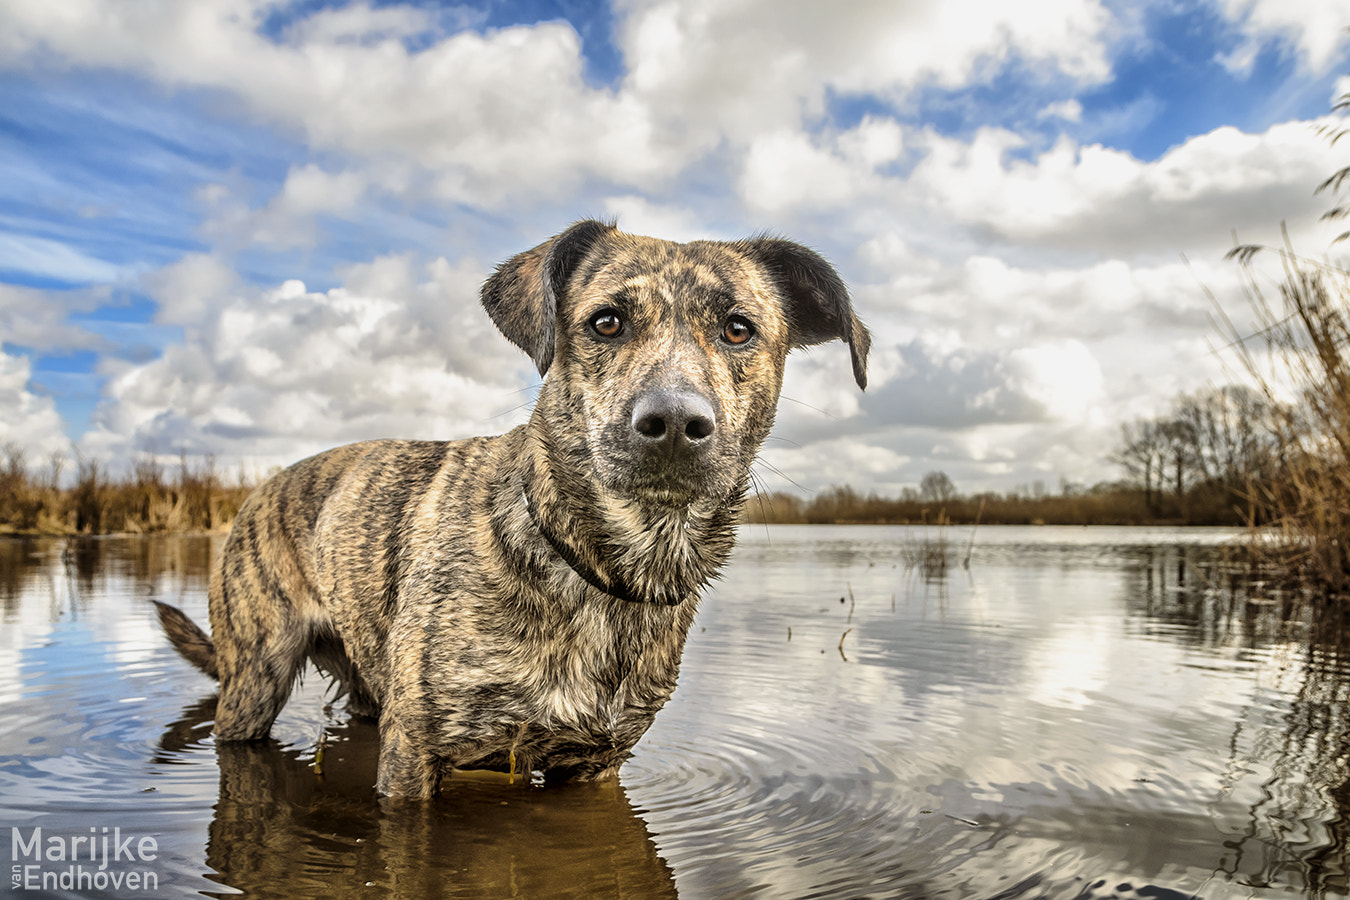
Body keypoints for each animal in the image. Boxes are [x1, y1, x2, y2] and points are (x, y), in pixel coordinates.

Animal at [155, 221, 874, 798]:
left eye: (738, 329)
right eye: (606, 322)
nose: (673, 422)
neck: (600, 563)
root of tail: (262, 486)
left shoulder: (594, 765)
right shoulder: (414, 753)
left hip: (364, 684)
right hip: (255, 681)